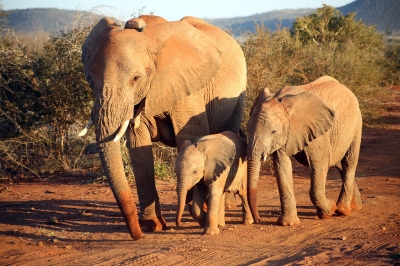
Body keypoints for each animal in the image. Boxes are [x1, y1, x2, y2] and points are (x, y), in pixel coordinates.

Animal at [79, 14, 247, 239]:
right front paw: (152, 225)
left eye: (136, 79)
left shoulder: (187, 88)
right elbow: (138, 148)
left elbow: (190, 136)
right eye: (90, 79)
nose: (137, 236)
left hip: (238, 95)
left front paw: (200, 213)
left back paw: (227, 204)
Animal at [247, 76, 362, 225]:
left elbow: (320, 163)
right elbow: (282, 165)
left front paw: (329, 210)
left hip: (356, 125)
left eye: (273, 132)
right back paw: (355, 206)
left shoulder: (318, 133)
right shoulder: (286, 135)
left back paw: (343, 210)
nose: (258, 219)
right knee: (338, 164)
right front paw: (288, 223)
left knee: (348, 162)